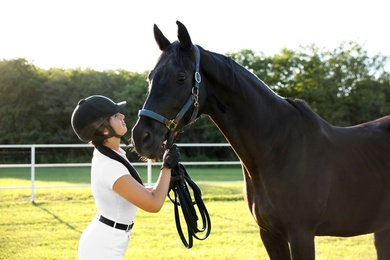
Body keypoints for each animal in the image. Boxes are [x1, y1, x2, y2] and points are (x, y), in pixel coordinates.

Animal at [130, 21, 390, 258]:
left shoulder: (301, 234)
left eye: (181, 77)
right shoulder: (269, 233)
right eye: (150, 77)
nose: (141, 137)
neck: (278, 150)